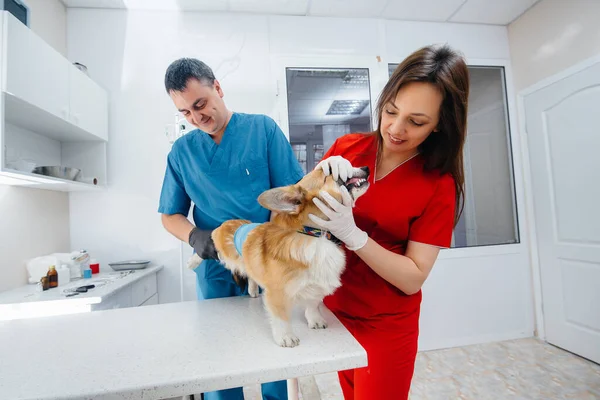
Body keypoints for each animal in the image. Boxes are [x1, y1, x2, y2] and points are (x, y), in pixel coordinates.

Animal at [188, 166, 370, 346]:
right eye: (330, 172)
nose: (366, 168)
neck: (316, 235)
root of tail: (235, 222)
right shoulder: (277, 294)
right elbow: (281, 318)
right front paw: (286, 337)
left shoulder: (316, 287)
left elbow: (312, 305)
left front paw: (315, 320)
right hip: (223, 249)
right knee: (211, 239)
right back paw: (193, 260)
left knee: (250, 273)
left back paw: (253, 290)